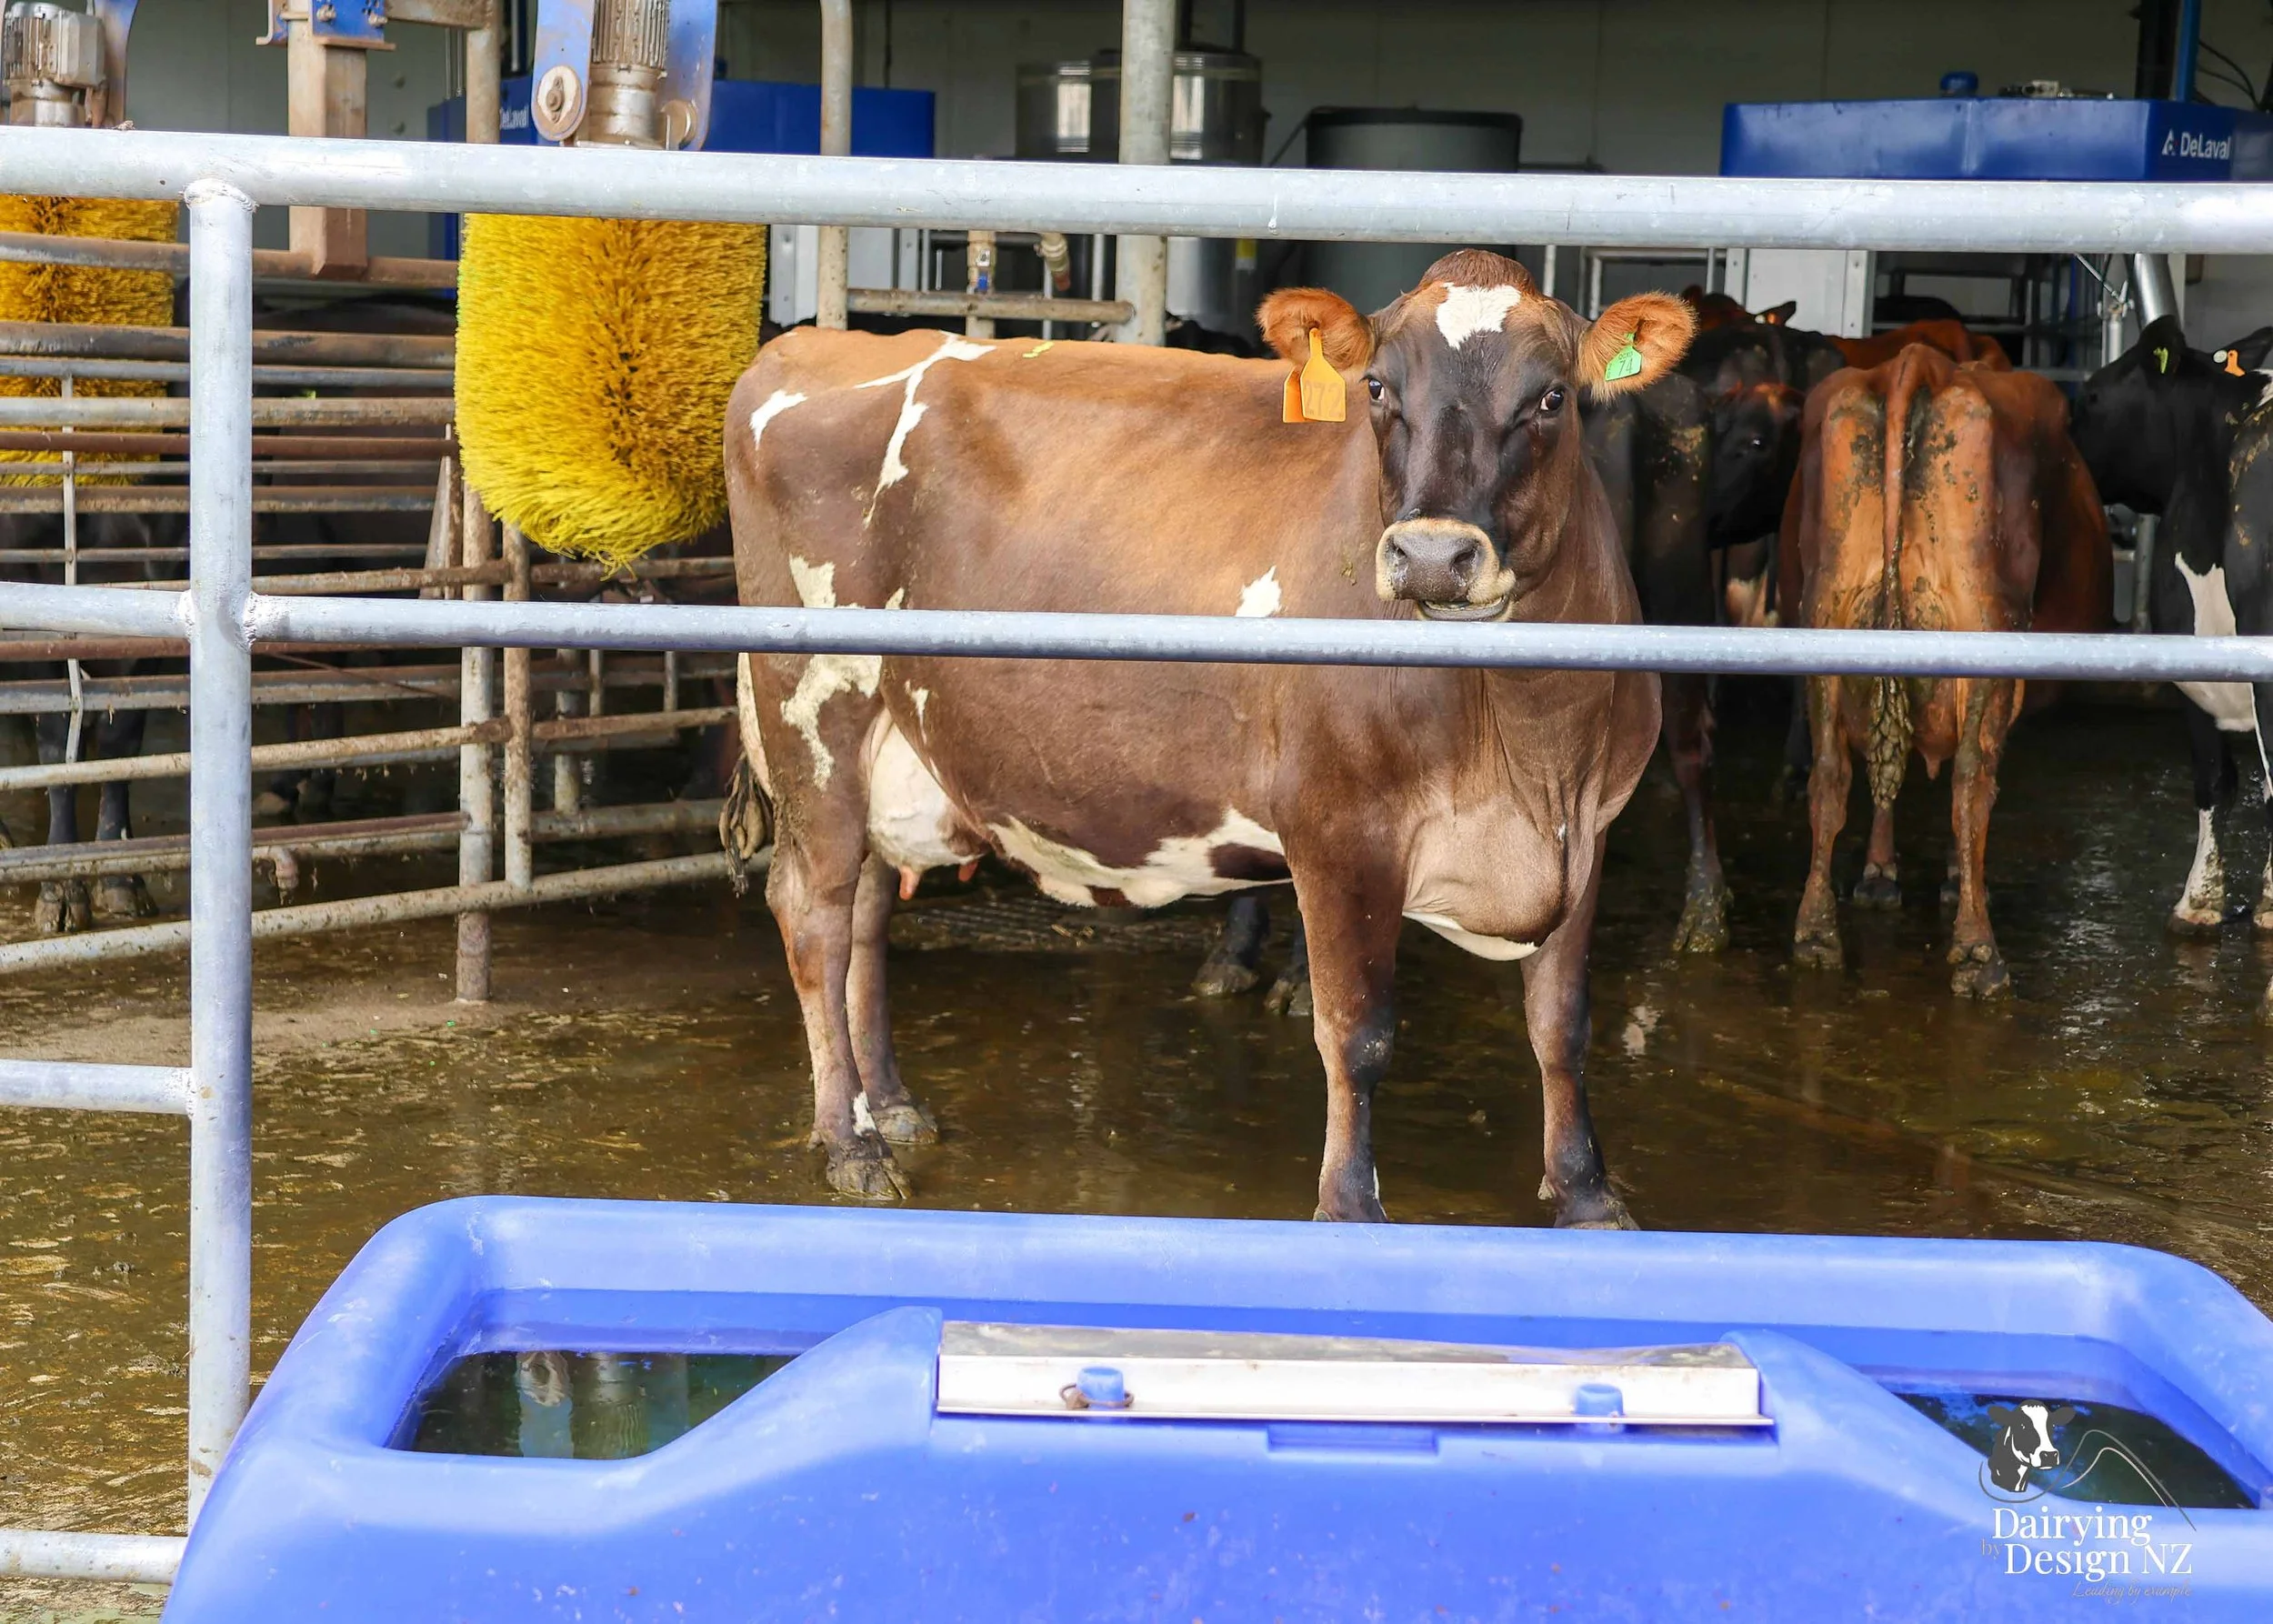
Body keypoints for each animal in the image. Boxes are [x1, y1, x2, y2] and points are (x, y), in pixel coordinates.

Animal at [723, 250, 1691, 1224]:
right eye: (1378, 387)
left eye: (1553, 397)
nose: (1429, 557)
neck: (1524, 744)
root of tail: (813, 346)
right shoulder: (1338, 829)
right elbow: (1357, 1032)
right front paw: (1350, 1208)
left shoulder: (1588, 828)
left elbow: (1562, 1022)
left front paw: (1587, 1194)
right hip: (814, 713)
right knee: (815, 911)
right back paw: (851, 1140)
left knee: (868, 909)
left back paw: (889, 1104)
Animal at [1788, 345, 2112, 997]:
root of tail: (1922, 363)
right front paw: (1953, 876)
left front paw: (1879, 872)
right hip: (1985, 636)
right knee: (1970, 781)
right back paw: (1978, 951)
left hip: (1826, 619)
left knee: (1832, 774)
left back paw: (1815, 933)